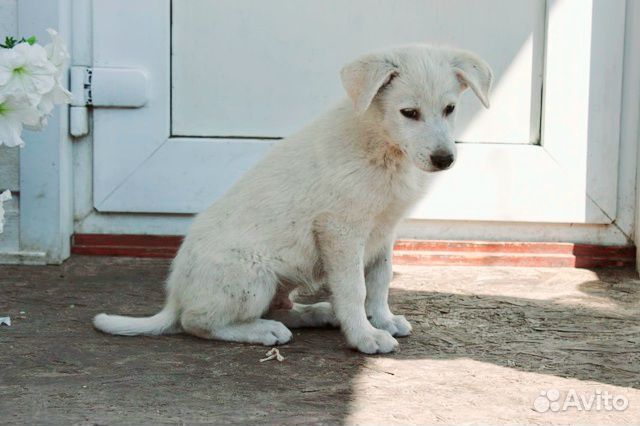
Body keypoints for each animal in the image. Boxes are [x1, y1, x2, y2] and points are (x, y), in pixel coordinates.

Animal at [92, 45, 492, 354]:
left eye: (450, 109)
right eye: (409, 113)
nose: (444, 159)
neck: (382, 147)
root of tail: (175, 295)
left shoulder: (384, 231)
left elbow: (380, 280)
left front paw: (383, 320)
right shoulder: (341, 230)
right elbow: (354, 288)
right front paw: (364, 336)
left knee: (278, 308)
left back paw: (315, 313)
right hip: (252, 277)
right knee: (198, 322)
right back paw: (263, 330)